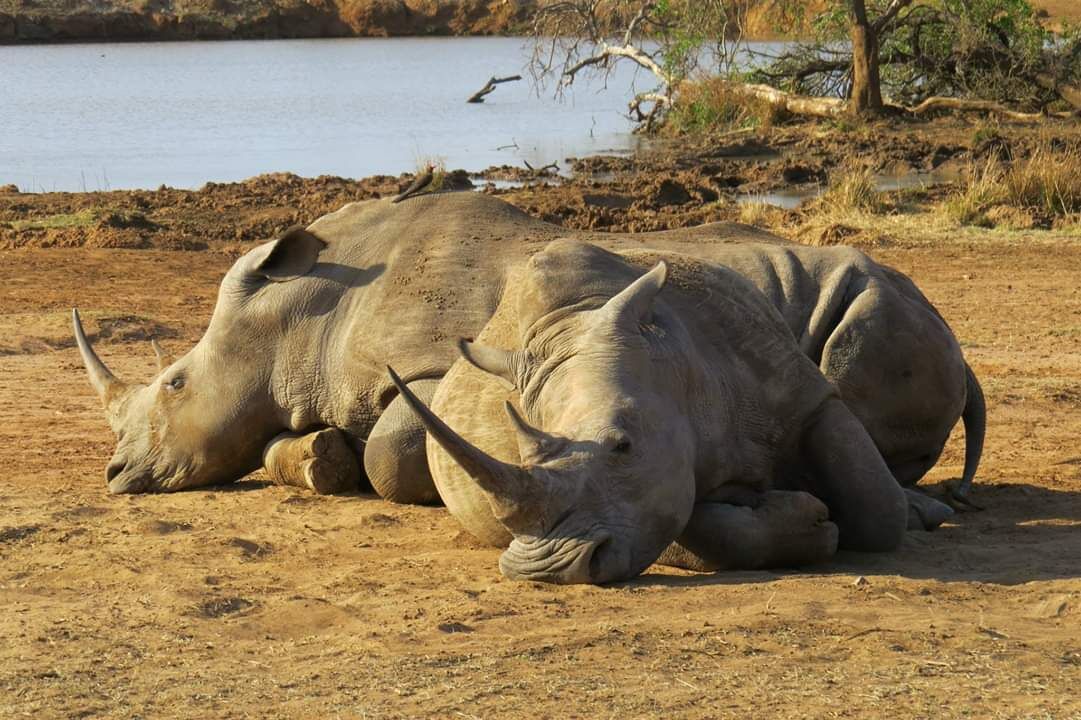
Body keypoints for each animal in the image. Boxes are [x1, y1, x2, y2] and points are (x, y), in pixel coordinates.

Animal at [72, 192, 982, 509]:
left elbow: (397, 448)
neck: (306, 316)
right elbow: (285, 446)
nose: (114, 474)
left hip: (882, 312)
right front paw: (321, 460)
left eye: (175, 384)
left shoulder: (441, 361)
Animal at [391, 240, 962, 584]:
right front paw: (807, 521)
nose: (548, 571)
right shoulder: (652, 494)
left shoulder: (804, 394)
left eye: (623, 446)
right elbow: (697, 525)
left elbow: (876, 509)